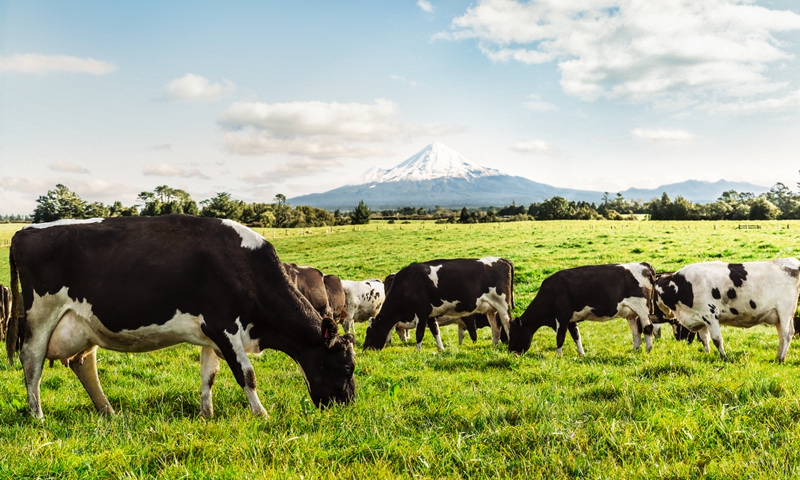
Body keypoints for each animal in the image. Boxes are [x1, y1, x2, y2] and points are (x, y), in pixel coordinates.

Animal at [7, 216, 354, 418]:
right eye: (348, 366)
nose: (348, 404)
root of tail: (24, 230)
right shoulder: (223, 325)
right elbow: (246, 374)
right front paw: (262, 415)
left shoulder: (211, 334)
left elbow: (209, 374)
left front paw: (206, 414)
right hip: (41, 316)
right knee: (31, 361)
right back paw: (38, 415)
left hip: (85, 323)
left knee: (83, 362)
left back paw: (109, 412)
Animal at [362, 256, 512, 350]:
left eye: (369, 332)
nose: (364, 348)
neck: (407, 283)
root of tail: (502, 259)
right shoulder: (430, 314)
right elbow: (436, 331)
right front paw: (441, 349)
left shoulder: (421, 312)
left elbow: (420, 333)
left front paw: (417, 351)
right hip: (491, 309)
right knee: (496, 328)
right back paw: (494, 346)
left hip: (503, 305)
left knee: (507, 323)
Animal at [506, 262, 656, 356]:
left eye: (513, 333)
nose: (510, 351)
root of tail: (644, 265)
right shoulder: (571, 320)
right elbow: (576, 336)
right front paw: (581, 354)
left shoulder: (562, 317)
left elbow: (560, 337)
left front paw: (558, 356)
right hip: (631, 314)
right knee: (636, 332)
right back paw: (635, 350)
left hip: (643, 310)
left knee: (648, 328)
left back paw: (648, 350)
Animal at [652, 258, 800, 360]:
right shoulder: (700, 317)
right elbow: (704, 339)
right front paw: (707, 354)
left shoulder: (710, 314)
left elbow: (717, 339)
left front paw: (723, 357)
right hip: (778, 317)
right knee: (782, 335)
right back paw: (778, 356)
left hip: (785, 311)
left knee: (787, 334)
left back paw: (781, 359)